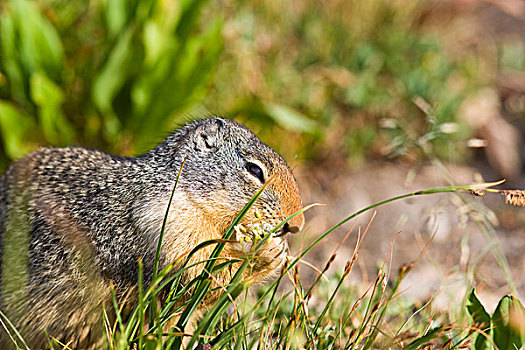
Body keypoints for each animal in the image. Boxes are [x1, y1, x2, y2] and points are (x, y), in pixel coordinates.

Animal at [0, 117, 302, 348]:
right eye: (254, 170)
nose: (297, 224)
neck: (183, 192)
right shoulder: (170, 231)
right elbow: (201, 278)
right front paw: (265, 253)